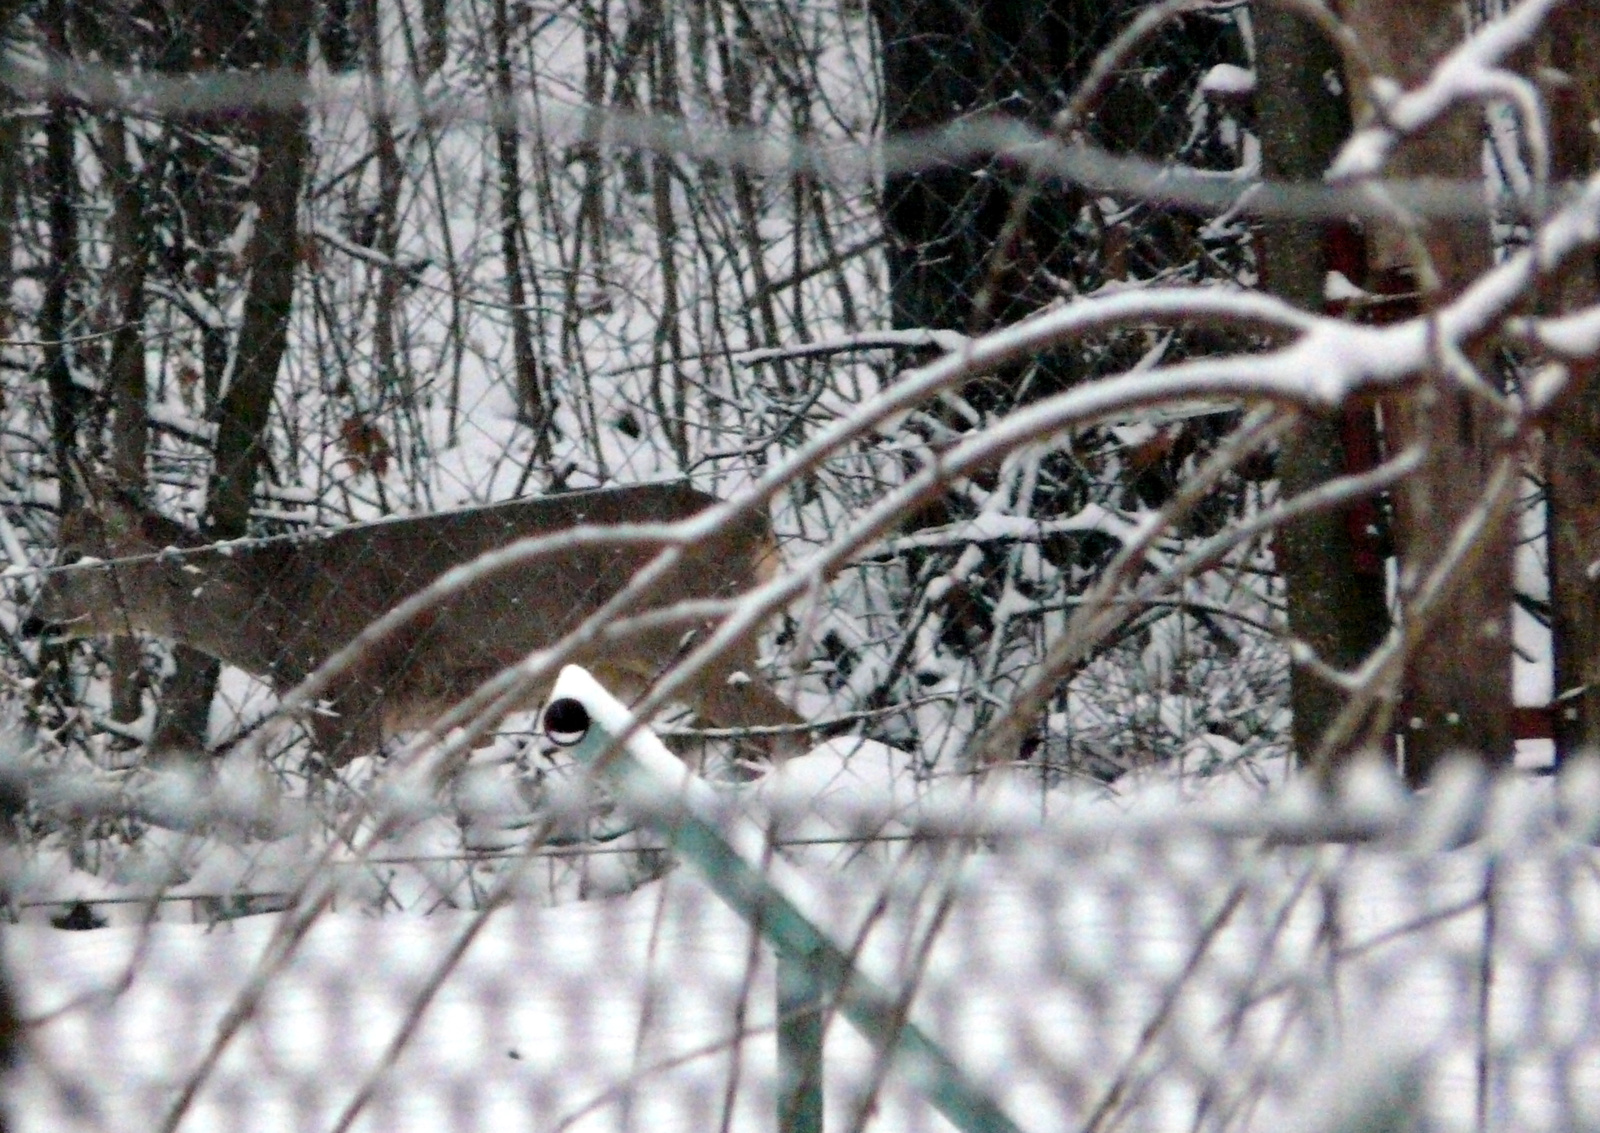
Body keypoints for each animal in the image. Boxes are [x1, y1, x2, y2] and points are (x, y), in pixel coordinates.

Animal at [20, 483, 806, 764]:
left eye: (71, 556)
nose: (30, 623)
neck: (273, 612)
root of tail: (760, 525)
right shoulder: (440, 709)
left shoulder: (348, 699)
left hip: (699, 641)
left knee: (792, 729)